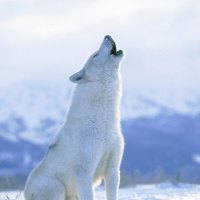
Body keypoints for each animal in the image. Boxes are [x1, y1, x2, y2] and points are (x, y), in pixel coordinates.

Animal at [24, 35, 124, 200]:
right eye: (95, 54)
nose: (107, 35)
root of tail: (26, 192)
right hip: (57, 189)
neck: (103, 123)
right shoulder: (84, 172)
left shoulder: (113, 170)